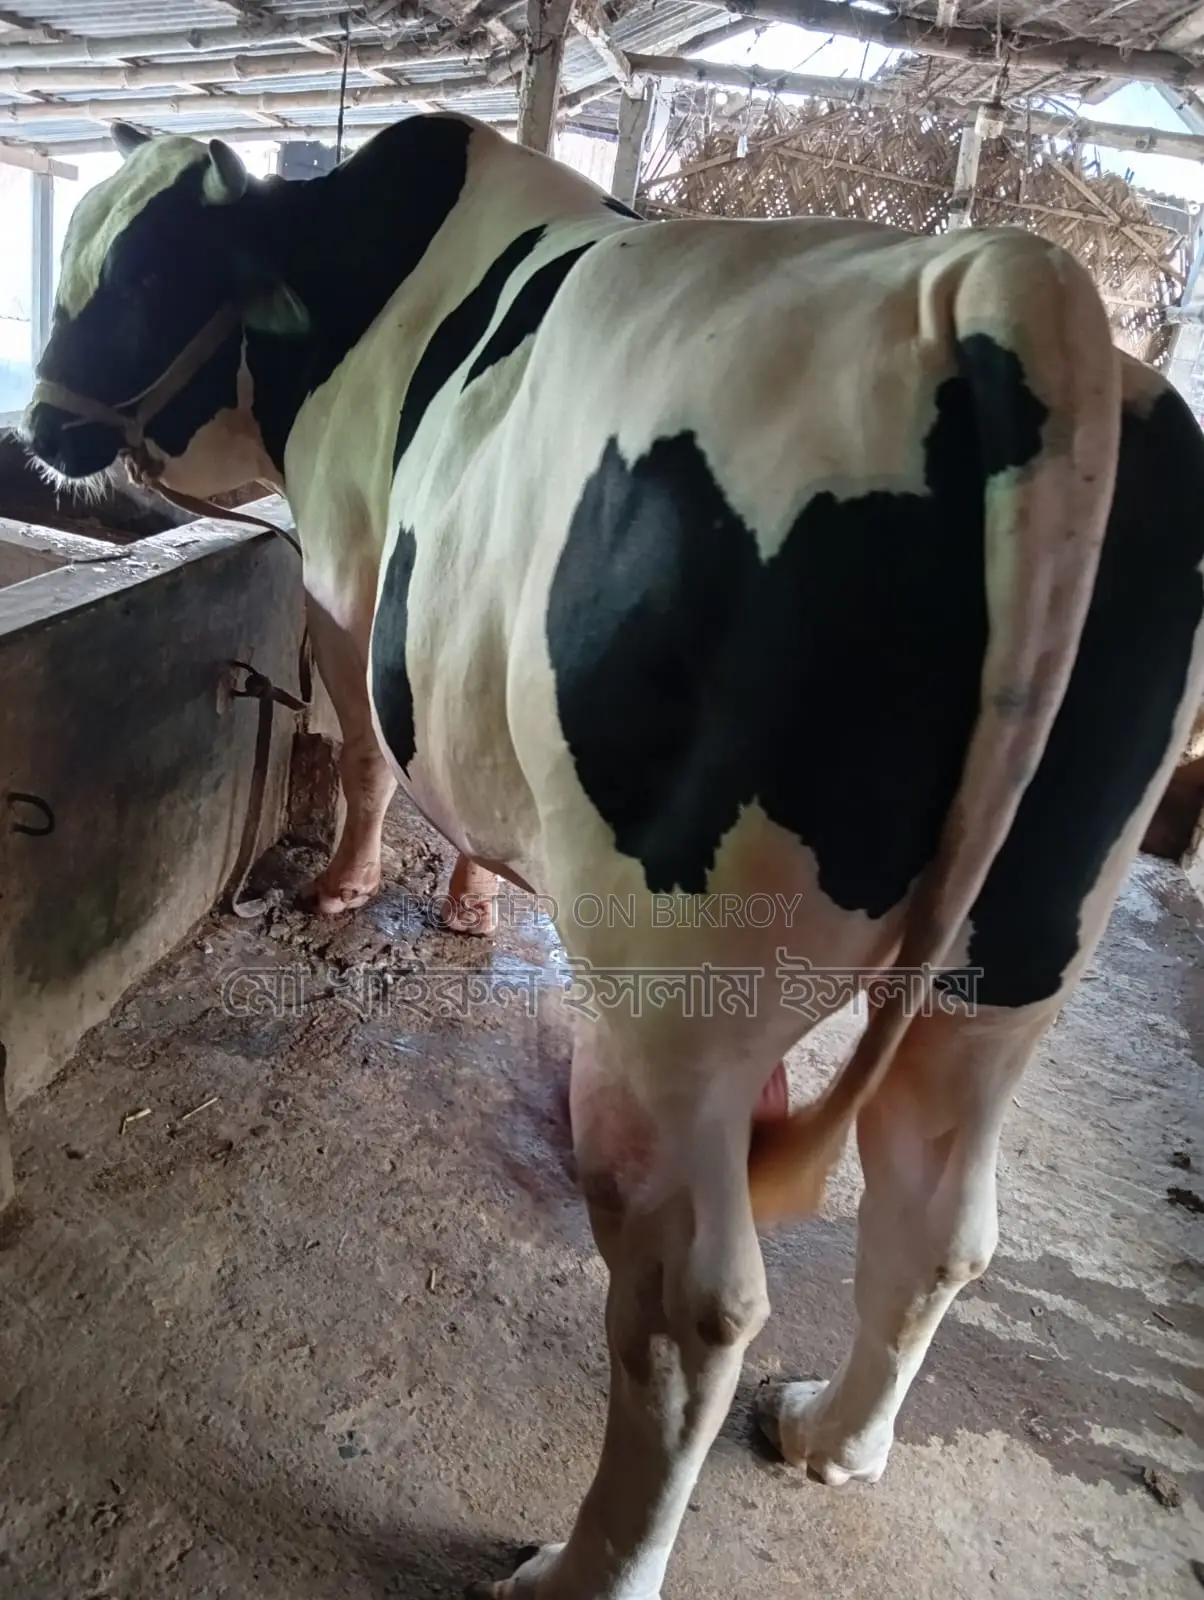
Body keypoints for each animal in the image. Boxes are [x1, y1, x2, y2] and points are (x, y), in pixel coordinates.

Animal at [22, 114, 1204, 1600]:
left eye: (140, 273)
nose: (39, 422)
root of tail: (1007, 283)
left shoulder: (348, 584)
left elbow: (373, 757)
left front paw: (348, 886)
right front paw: (473, 900)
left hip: (669, 1002)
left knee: (692, 1306)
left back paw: (588, 1565)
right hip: (1017, 955)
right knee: (940, 1211)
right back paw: (831, 1436)